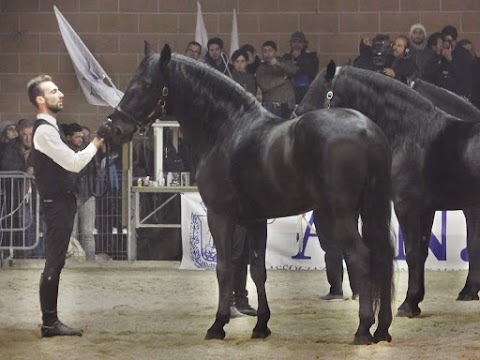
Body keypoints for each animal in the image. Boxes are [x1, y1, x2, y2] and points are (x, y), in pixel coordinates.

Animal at [105, 43, 394, 344]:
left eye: (146, 84)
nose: (114, 129)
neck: (228, 129)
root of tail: (368, 130)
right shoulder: (255, 221)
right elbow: (257, 271)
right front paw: (261, 325)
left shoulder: (220, 216)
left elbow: (224, 268)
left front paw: (218, 325)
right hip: (371, 210)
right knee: (384, 257)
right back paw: (382, 329)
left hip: (342, 214)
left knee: (362, 257)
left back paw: (363, 329)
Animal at [298, 62, 480, 318]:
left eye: (322, 91)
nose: (296, 117)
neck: (412, 134)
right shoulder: (427, 209)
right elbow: (422, 251)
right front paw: (415, 301)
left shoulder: (408, 206)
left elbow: (413, 252)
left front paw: (408, 304)